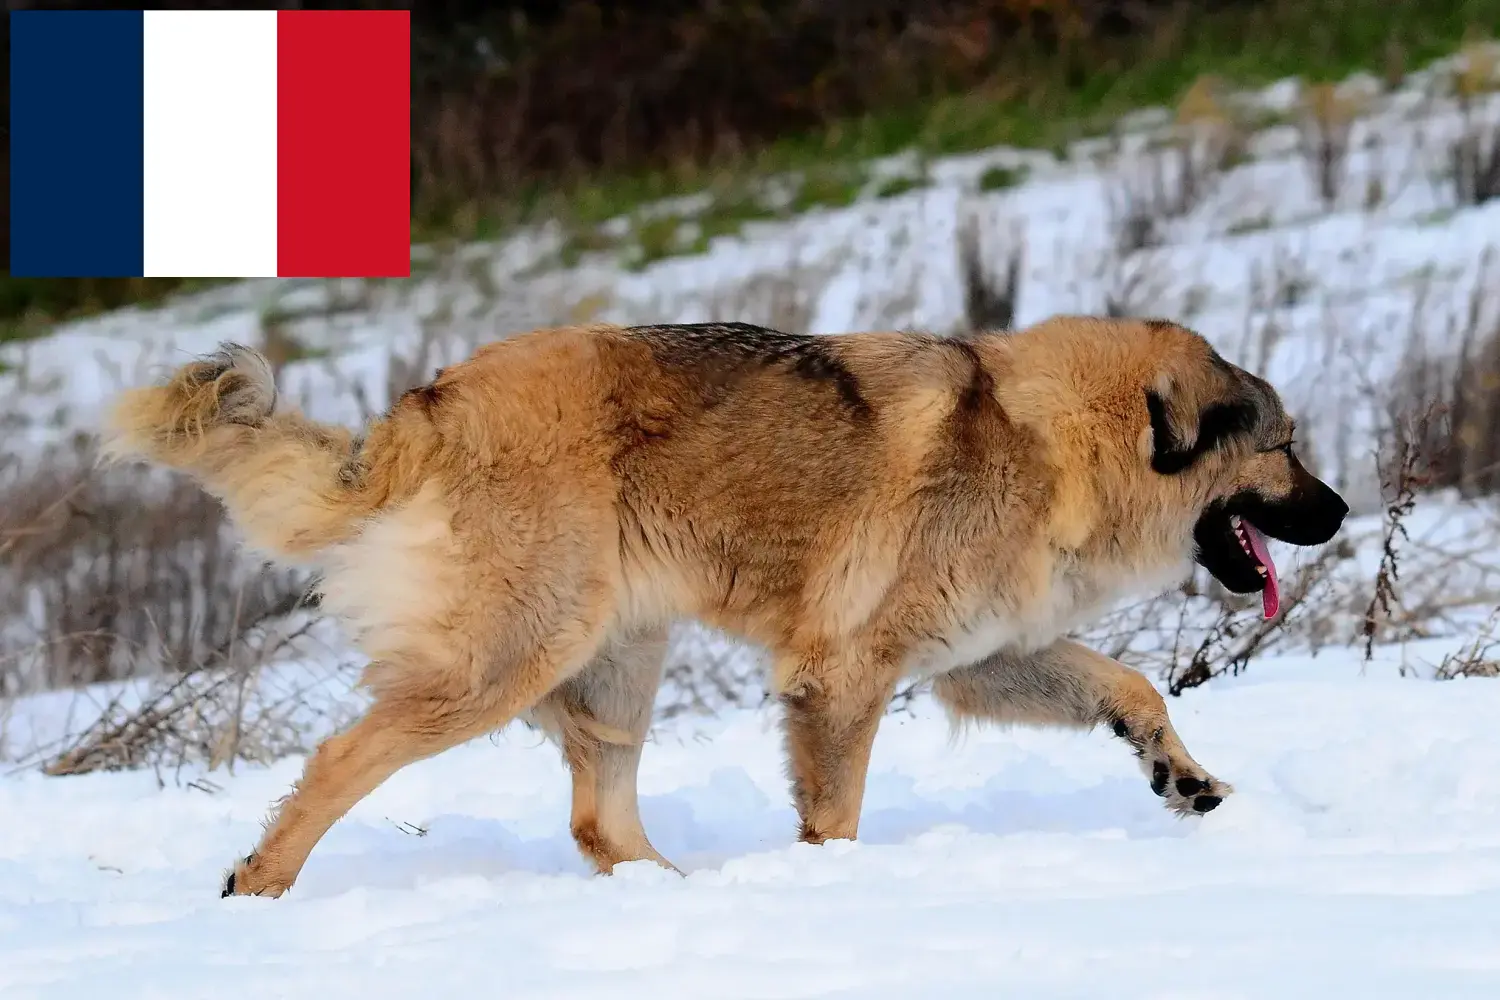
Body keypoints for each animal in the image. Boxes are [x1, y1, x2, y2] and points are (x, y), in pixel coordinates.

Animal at [102, 316, 1350, 893]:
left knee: (599, 821)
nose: (1342, 513)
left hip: (618, 661)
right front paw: (832, 887)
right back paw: (258, 886)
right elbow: (837, 812)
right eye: (1285, 447)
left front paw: (1182, 778)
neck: (1049, 436)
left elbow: (1130, 685)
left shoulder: (977, 655)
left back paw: (676, 898)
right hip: (510, 656)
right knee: (337, 761)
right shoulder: (846, 677)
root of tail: (427, 403)